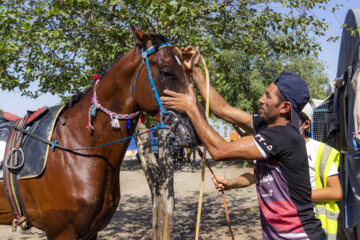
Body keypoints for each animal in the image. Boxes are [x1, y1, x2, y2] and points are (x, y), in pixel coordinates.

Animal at [0, 25, 200, 239]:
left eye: (187, 71)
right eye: (166, 72)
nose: (192, 130)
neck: (76, 148)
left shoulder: (91, 231)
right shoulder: (62, 231)